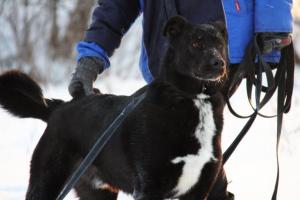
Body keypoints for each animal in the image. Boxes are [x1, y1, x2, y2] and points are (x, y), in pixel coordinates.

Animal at [0, 16, 227, 200]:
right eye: (196, 42)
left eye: (220, 43)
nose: (219, 63)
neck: (195, 98)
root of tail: (58, 108)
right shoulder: (149, 187)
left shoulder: (199, 189)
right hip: (46, 181)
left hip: (97, 192)